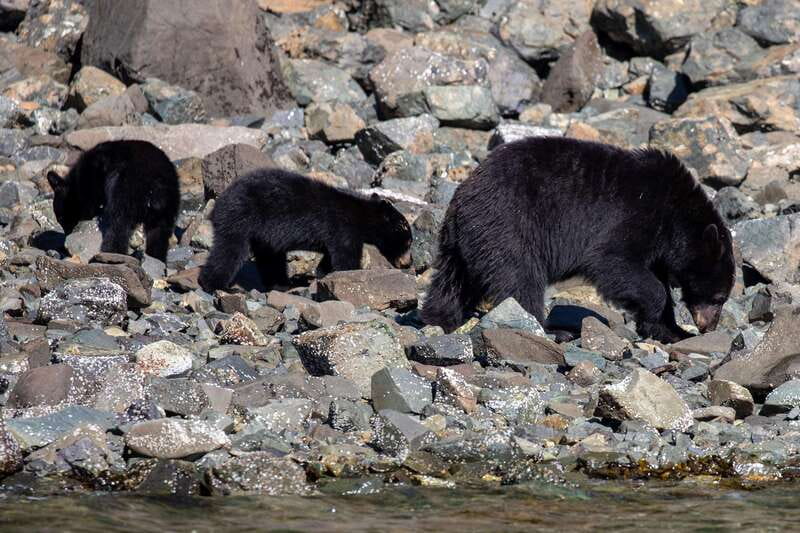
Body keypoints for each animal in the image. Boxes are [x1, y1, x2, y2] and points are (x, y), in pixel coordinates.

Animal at [47, 140, 180, 262]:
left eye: (61, 218)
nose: (68, 234)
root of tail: (156, 183)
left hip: (125, 191)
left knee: (118, 225)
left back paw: (113, 254)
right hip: (168, 206)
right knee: (159, 234)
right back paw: (156, 258)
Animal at [198, 168, 413, 292]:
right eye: (408, 240)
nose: (409, 263)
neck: (361, 216)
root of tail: (217, 205)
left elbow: (329, 259)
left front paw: (321, 274)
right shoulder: (343, 229)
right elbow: (345, 258)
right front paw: (351, 274)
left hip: (261, 235)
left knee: (270, 258)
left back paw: (282, 283)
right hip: (240, 220)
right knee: (229, 251)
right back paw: (217, 286)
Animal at [420, 136, 736, 344]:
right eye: (719, 297)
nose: (709, 326)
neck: (674, 212)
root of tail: (461, 198)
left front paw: (671, 329)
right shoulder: (633, 214)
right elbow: (612, 261)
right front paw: (660, 314)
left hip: (462, 242)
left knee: (450, 282)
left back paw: (438, 318)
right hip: (509, 226)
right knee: (520, 279)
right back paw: (550, 330)